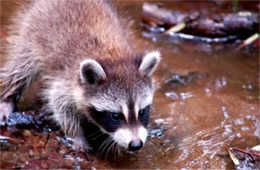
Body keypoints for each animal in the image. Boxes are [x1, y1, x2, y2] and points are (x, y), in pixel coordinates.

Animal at [0, 0, 160, 151]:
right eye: (116, 116)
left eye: (142, 112)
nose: (136, 144)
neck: (113, 57)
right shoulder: (66, 82)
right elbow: (60, 105)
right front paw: (77, 135)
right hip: (32, 33)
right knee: (21, 69)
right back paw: (8, 98)